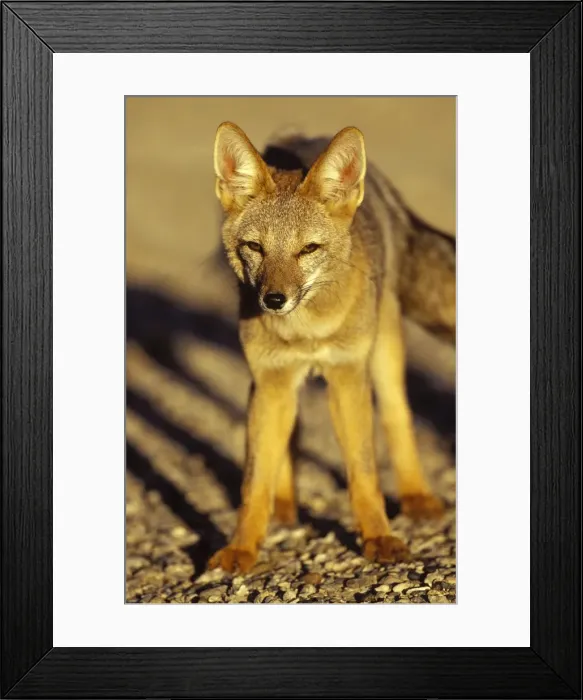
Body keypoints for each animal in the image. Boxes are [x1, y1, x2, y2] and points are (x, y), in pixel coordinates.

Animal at [208, 122, 455, 574]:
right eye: (255, 247)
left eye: (308, 249)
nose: (274, 300)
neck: (306, 332)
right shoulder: (271, 380)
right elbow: (254, 480)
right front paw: (243, 547)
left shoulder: (347, 378)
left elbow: (364, 472)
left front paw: (378, 537)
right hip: (273, 387)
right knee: (290, 436)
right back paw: (284, 507)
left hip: (383, 356)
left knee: (398, 417)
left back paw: (417, 498)